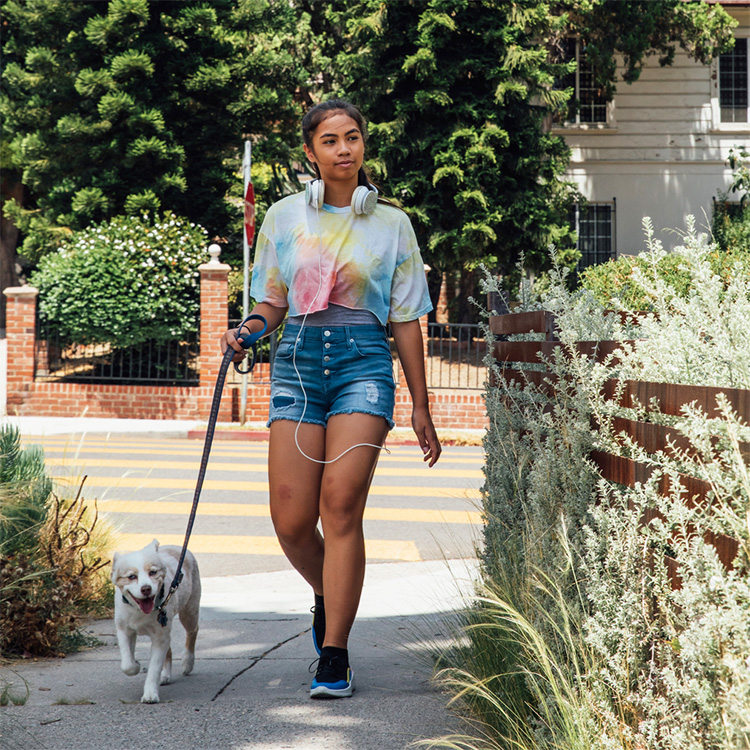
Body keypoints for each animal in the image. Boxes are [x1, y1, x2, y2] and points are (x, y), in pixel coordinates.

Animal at [110, 540, 201, 704]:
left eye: (153, 572)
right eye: (131, 576)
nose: (146, 588)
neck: (140, 611)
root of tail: (176, 547)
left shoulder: (160, 637)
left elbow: (154, 669)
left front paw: (150, 694)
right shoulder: (124, 630)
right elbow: (127, 664)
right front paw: (136, 665)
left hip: (189, 611)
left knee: (193, 631)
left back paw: (187, 662)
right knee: (169, 650)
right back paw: (165, 676)